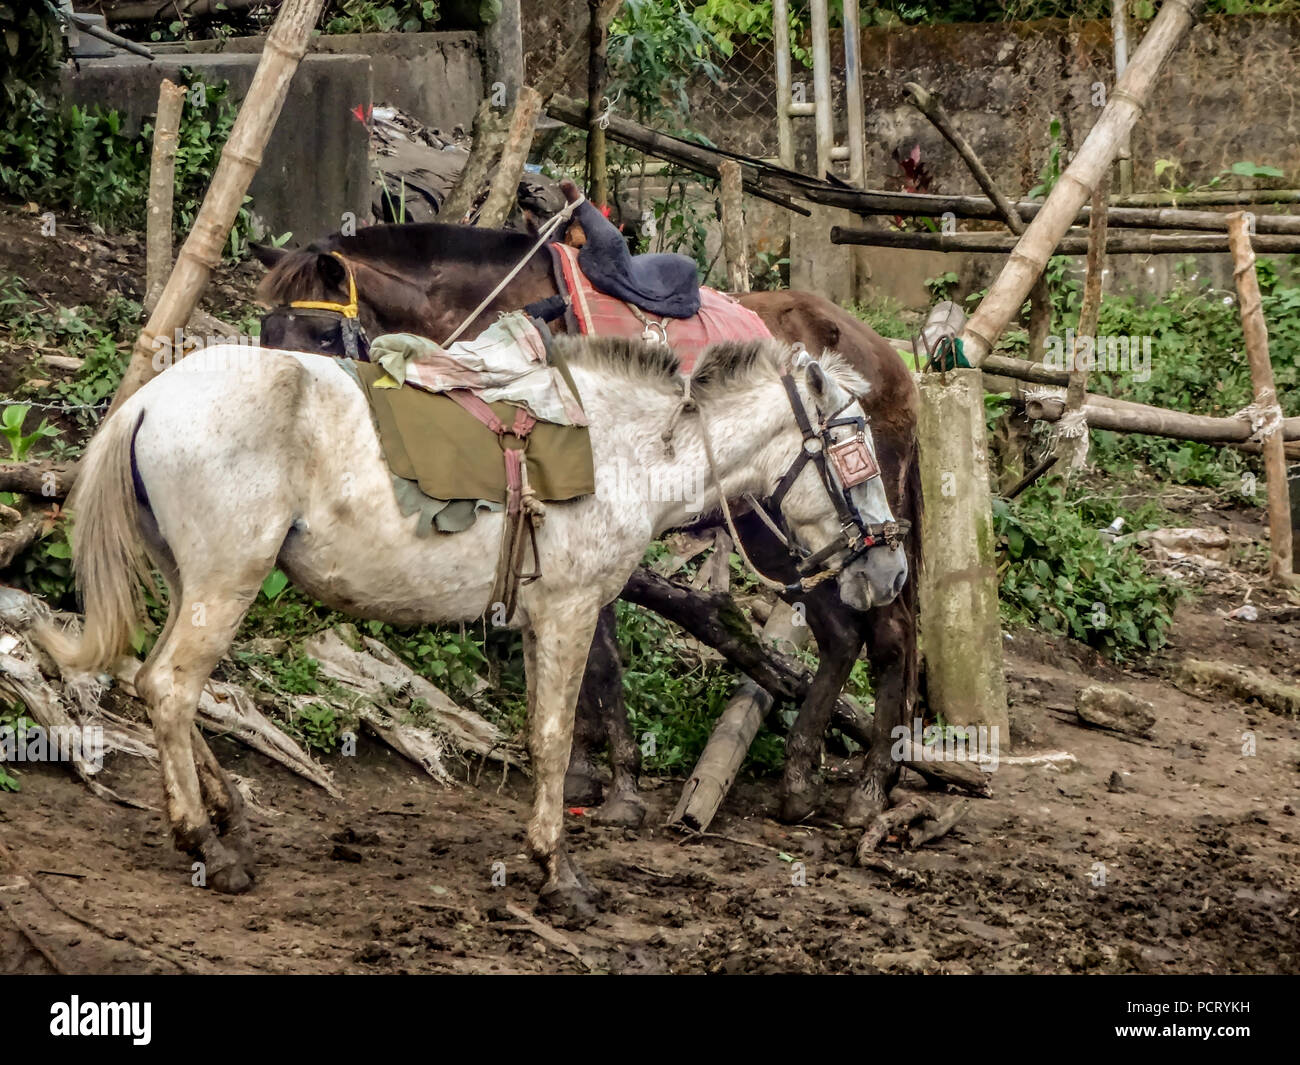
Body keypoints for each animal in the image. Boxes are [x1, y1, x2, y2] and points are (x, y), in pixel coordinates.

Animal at [48, 338, 904, 920]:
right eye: (855, 448)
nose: (891, 569)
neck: (627, 451)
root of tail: (150, 398)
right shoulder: (570, 610)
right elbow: (554, 736)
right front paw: (559, 872)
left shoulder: (542, 618)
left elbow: (551, 729)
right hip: (227, 579)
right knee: (171, 685)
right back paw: (207, 843)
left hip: (188, 579)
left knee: (156, 681)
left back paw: (227, 817)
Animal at [253, 218, 925, 832]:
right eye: (266, 331)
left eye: (322, 332)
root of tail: (892, 361)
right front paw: (585, 769)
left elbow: (597, 656)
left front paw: (617, 782)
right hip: (790, 532)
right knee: (842, 634)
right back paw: (799, 780)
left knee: (889, 634)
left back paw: (870, 787)